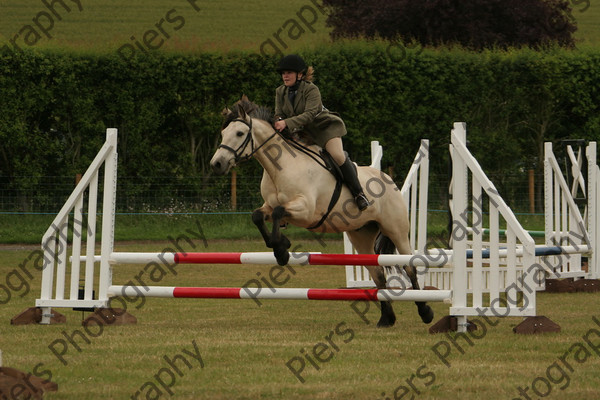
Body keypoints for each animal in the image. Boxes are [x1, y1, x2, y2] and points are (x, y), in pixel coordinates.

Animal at [209, 98, 434, 326]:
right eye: (223, 133)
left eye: (239, 133)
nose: (216, 164)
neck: (280, 167)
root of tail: (388, 179)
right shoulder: (269, 207)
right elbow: (258, 216)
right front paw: (281, 245)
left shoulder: (307, 211)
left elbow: (280, 212)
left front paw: (281, 251)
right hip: (361, 234)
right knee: (378, 272)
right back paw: (386, 318)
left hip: (395, 229)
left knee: (409, 266)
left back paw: (425, 311)